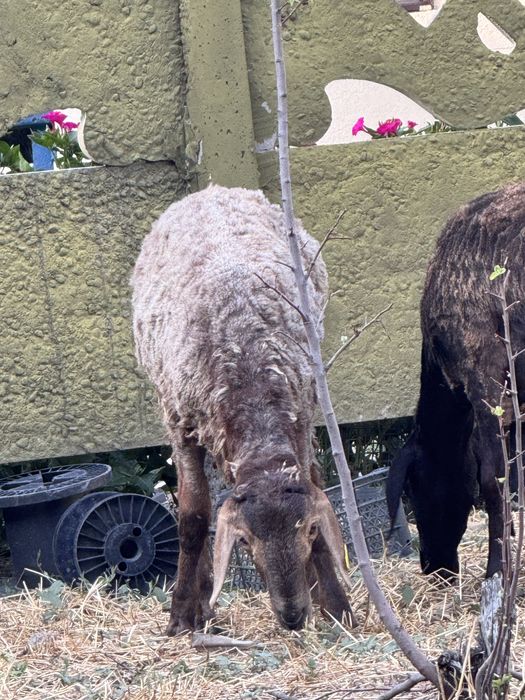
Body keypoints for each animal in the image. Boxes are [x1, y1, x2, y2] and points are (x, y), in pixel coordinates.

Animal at [131, 185, 353, 634]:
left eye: (309, 531)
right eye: (246, 541)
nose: (292, 617)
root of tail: (212, 189)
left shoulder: (300, 413)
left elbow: (312, 483)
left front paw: (335, 606)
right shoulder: (180, 422)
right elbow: (193, 517)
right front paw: (183, 614)